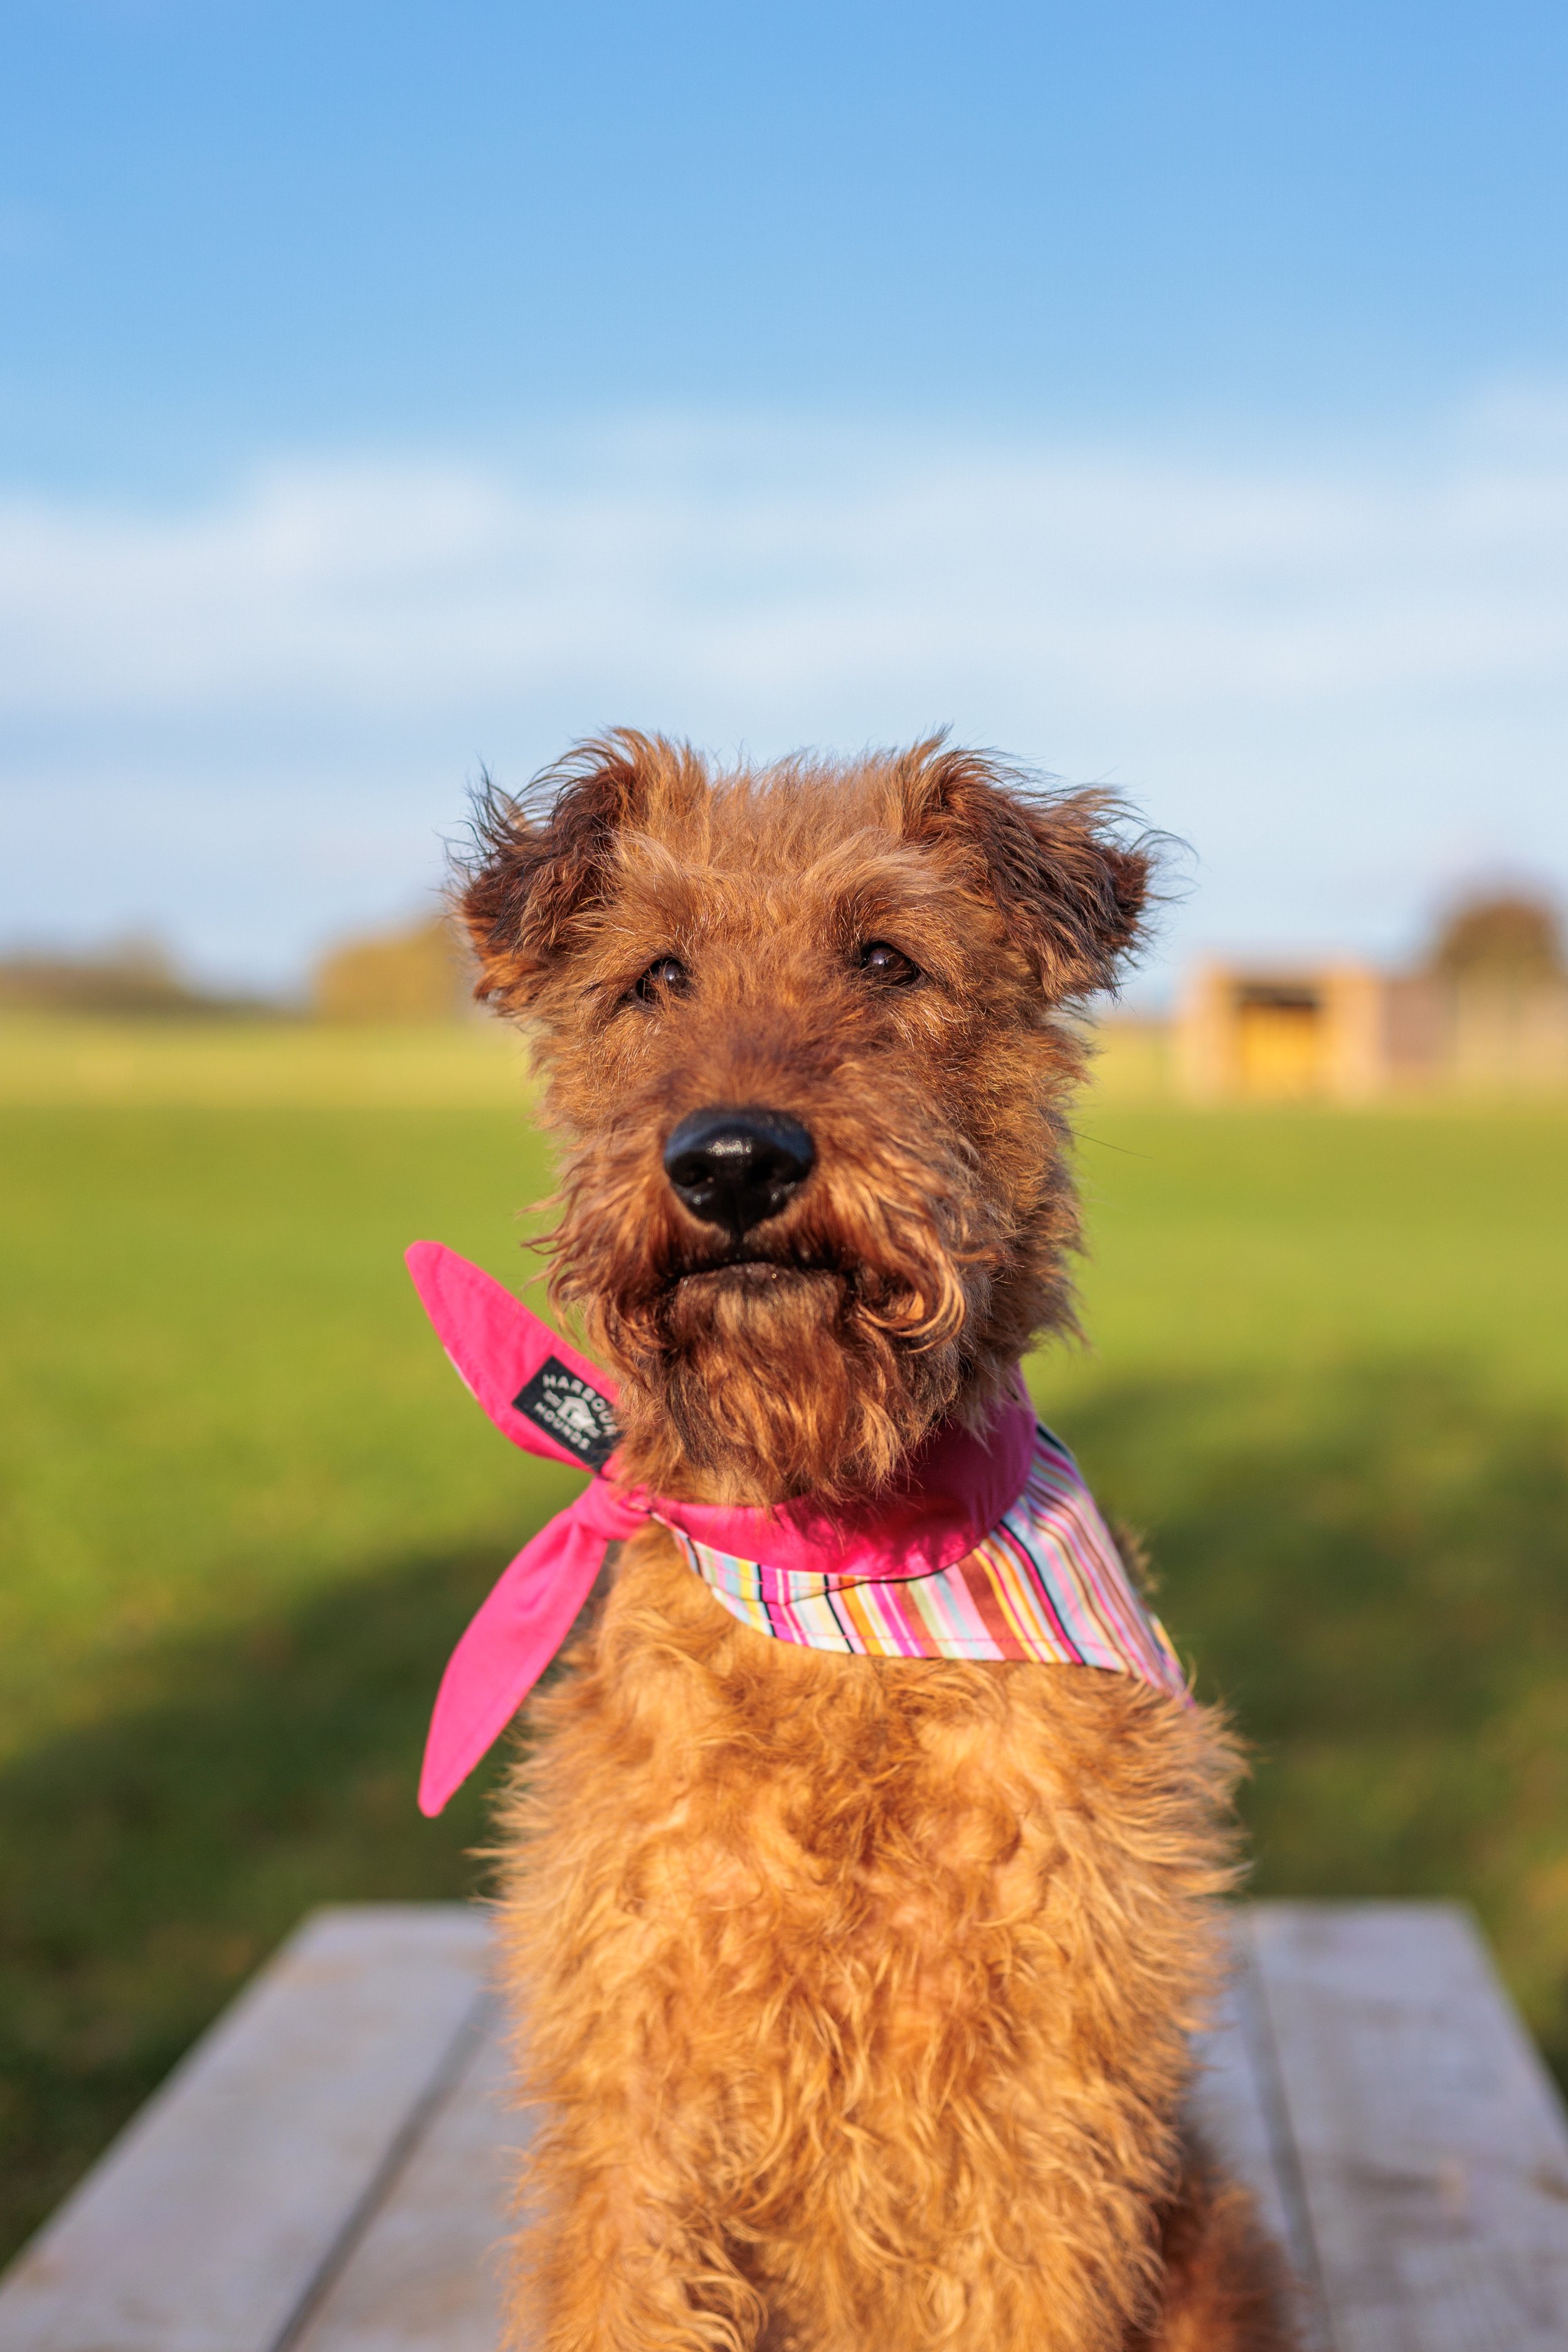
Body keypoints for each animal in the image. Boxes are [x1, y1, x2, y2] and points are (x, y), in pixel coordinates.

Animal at [453, 734, 1297, 2352]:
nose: (731, 1160)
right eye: (654, 976)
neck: (835, 1568)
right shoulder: (636, 2094)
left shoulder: (1042, 2115)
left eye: (888, 958)